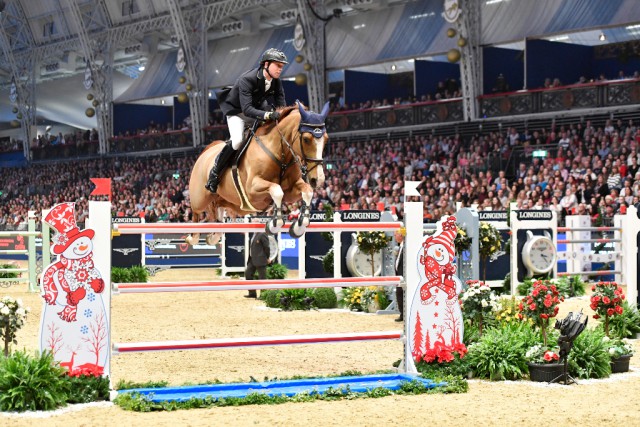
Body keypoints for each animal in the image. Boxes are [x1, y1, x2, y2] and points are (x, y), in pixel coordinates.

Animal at [184, 101, 324, 247]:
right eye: (306, 139)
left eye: (325, 138)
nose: (318, 180)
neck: (278, 153)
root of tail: (206, 151)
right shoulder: (252, 190)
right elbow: (276, 190)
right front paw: (275, 224)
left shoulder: (291, 191)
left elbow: (307, 191)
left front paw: (299, 226)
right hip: (199, 199)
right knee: (196, 213)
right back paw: (193, 237)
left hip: (225, 201)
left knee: (216, 212)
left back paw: (213, 236)